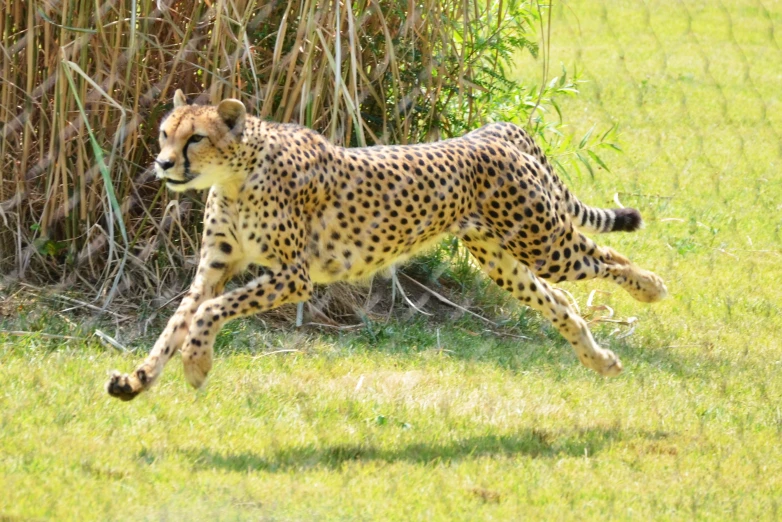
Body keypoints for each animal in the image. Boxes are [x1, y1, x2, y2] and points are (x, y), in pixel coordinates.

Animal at [105, 89, 668, 398]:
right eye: (165, 133)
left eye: (195, 138)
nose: (162, 163)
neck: (238, 176)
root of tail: (492, 131)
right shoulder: (214, 270)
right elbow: (177, 322)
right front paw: (138, 379)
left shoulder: (294, 277)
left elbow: (208, 313)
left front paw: (197, 365)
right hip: (501, 257)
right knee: (560, 300)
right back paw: (600, 360)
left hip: (543, 241)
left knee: (606, 257)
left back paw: (651, 288)